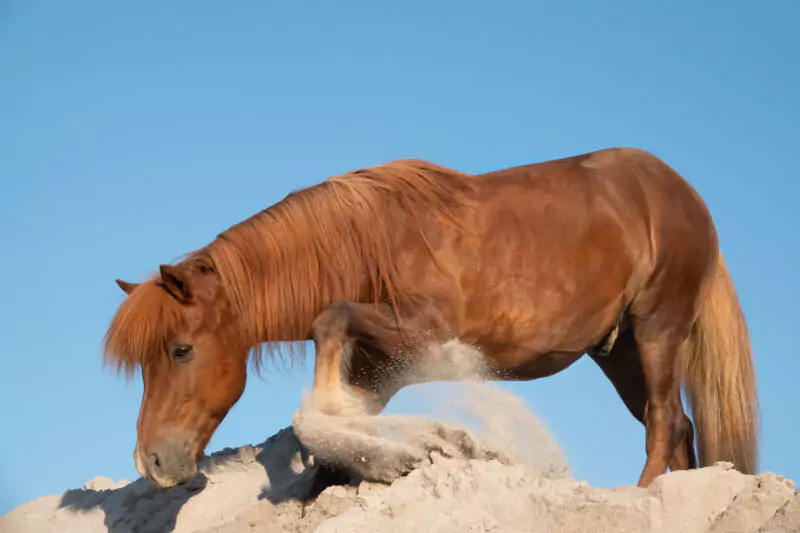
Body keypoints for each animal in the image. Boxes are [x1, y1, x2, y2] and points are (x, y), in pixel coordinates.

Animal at [104, 145, 756, 490]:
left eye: (181, 350)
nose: (153, 461)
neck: (370, 243)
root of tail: (678, 190)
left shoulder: (424, 332)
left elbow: (327, 320)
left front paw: (330, 409)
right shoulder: (378, 369)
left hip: (657, 328)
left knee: (666, 422)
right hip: (618, 351)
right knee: (677, 428)